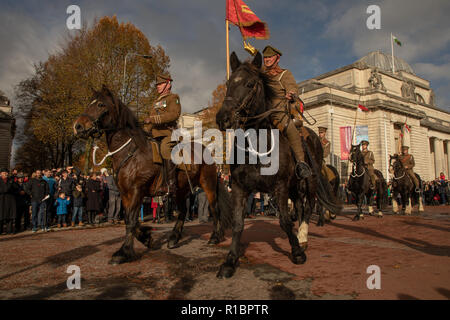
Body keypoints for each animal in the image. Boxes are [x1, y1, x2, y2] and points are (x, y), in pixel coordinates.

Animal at [73, 85, 232, 264]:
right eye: (90, 103)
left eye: (101, 104)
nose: (78, 126)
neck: (131, 152)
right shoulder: (125, 193)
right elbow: (129, 219)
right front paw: (146, 238)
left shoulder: (137, 191)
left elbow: (131, 221)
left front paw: (124, 252)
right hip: (180, 189)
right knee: (183, 211)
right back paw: (174, 239)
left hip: (208, 184)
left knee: (215, 208)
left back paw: (214, 237)